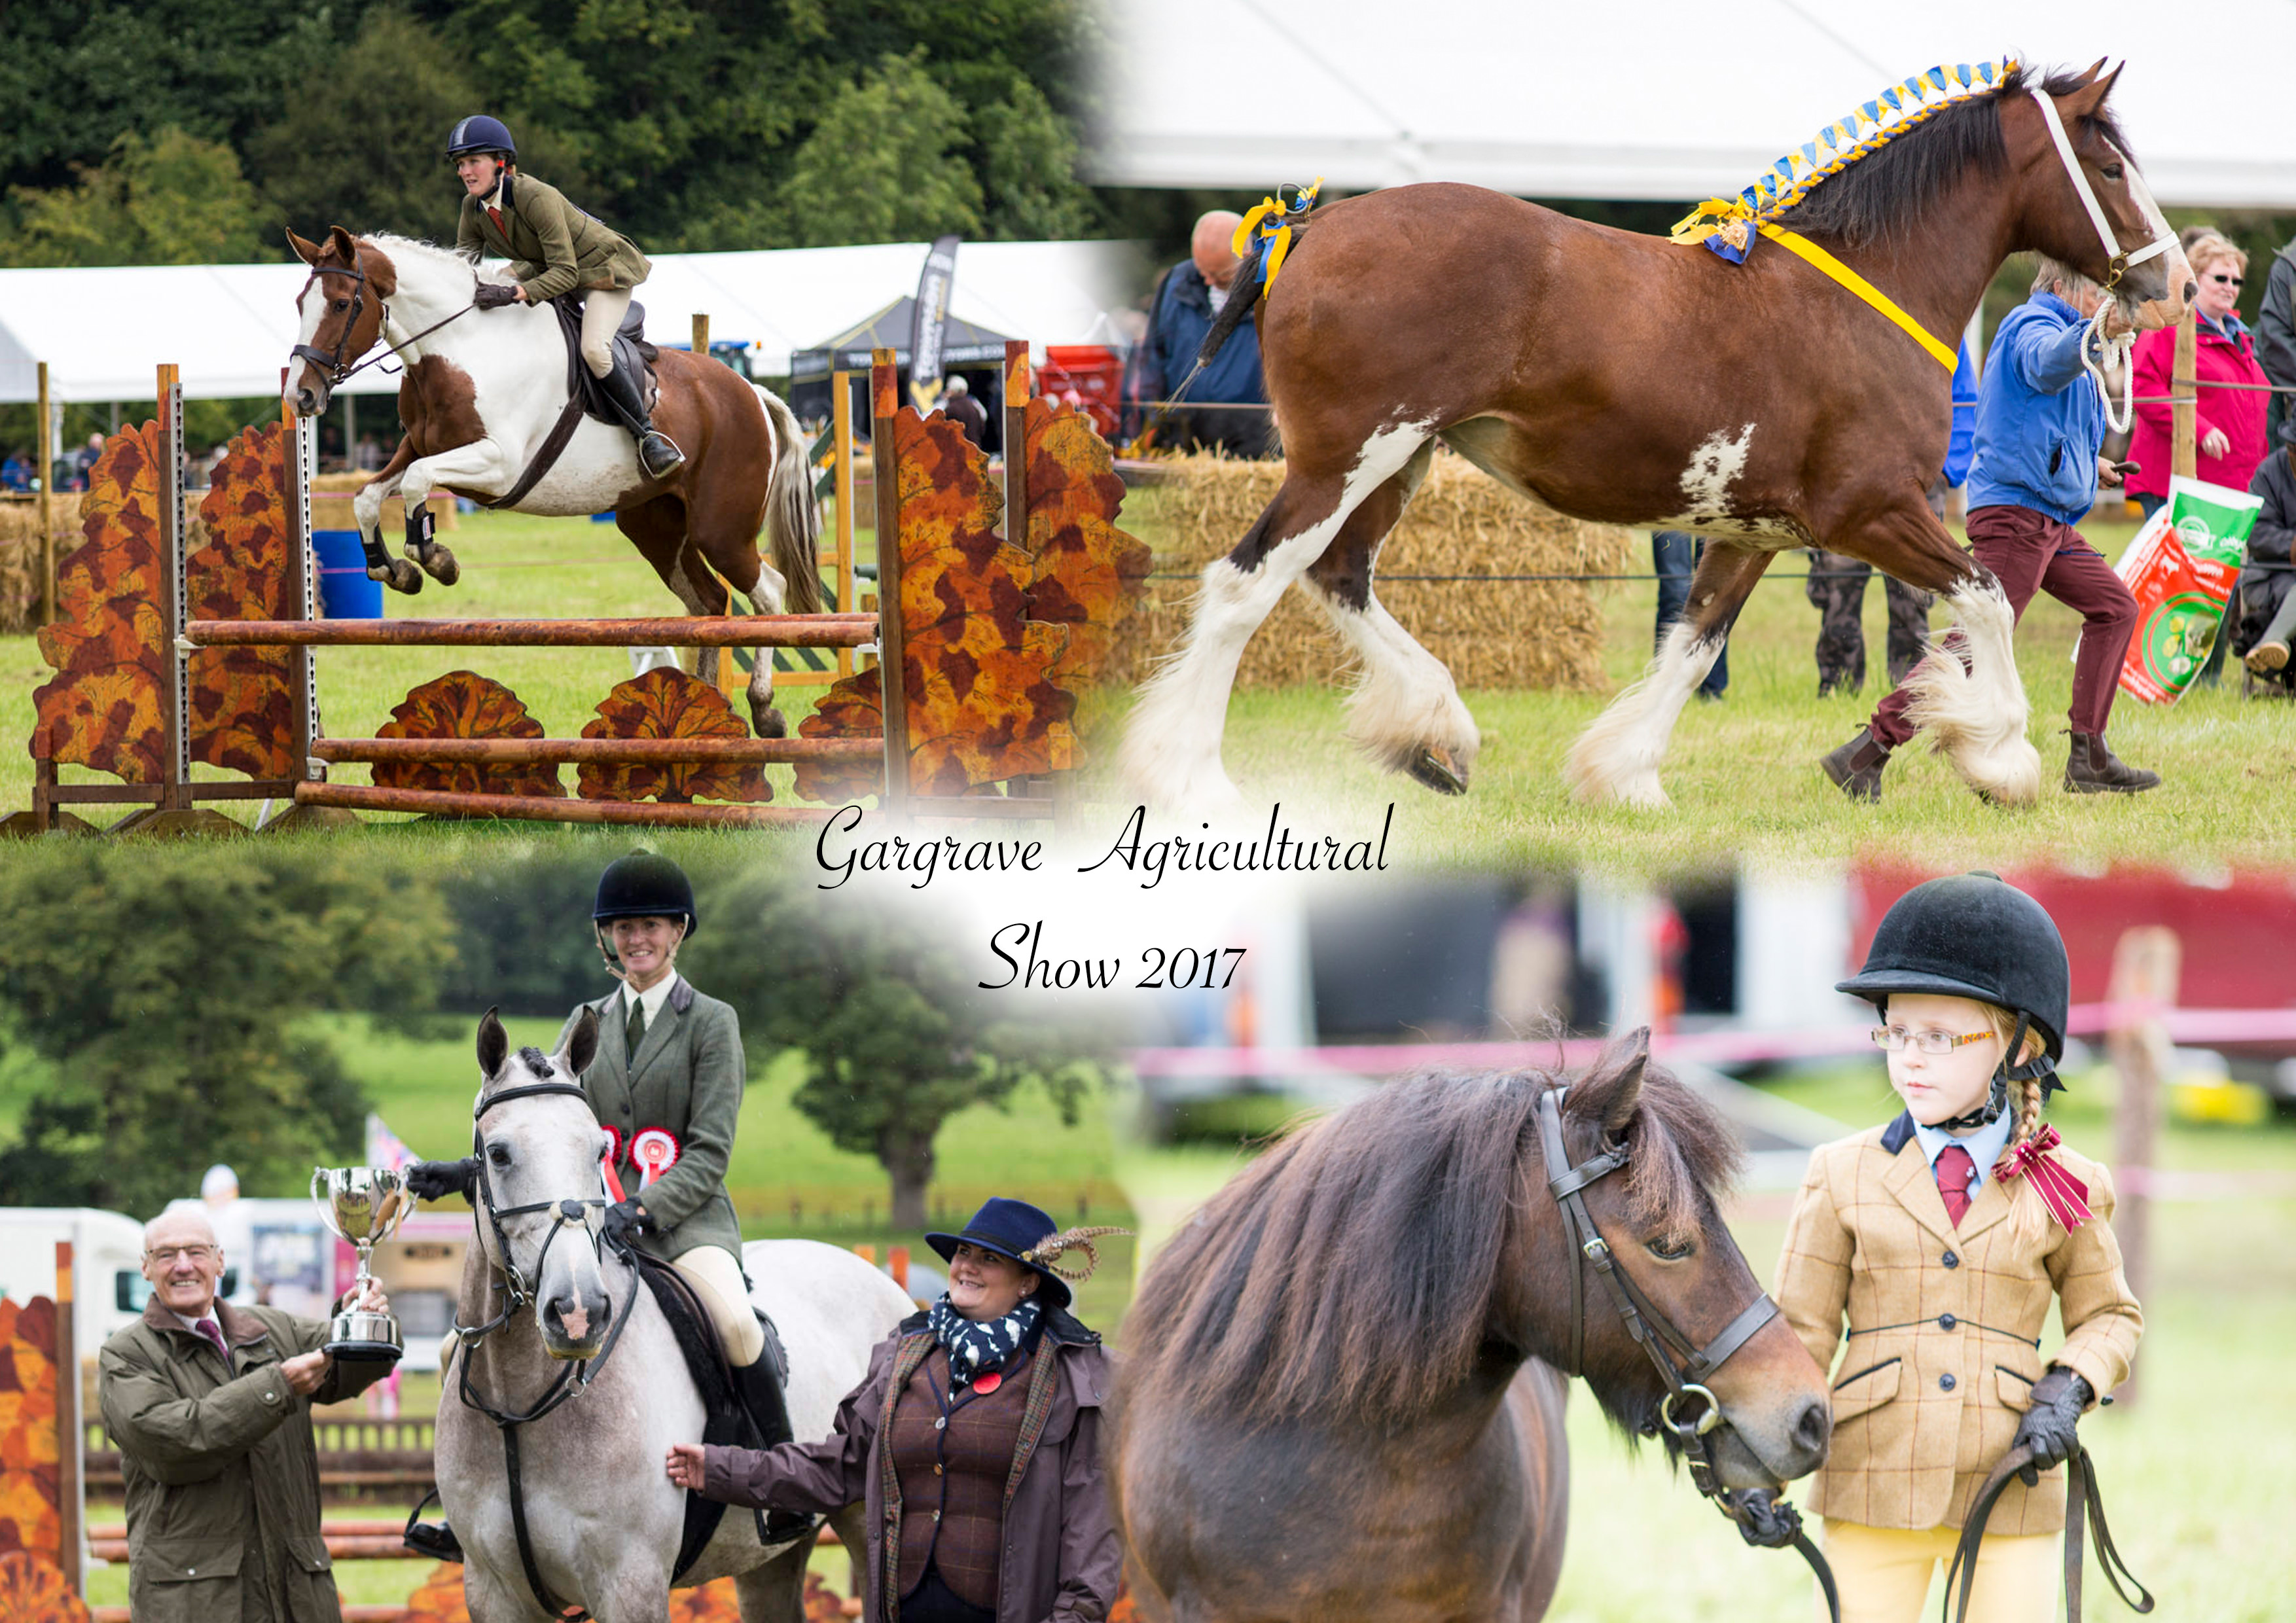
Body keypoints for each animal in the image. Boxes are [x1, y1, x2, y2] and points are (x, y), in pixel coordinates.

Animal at [283, 227, 826, 734]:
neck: (460, 351)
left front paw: (436, 560)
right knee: (711, 602)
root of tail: (753, 392)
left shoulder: (497, 465)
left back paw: (764, 710)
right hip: (656, 527)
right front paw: (394, 570)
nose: (300, 396)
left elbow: (418, 485)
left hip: (722, 531)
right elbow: (366, 497)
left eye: (339, 304)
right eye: (299, 304)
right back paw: (705, 705)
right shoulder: (417, 450)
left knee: (767, 592)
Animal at [1120, 62, 2195, 812]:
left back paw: (1436, 735)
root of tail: (1309, 228)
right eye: (2108, 165)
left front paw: (1624, 774)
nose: (2175, 284)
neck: (1866, 297)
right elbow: (1987, 601)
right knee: (1245, 584)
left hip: (1400, 460)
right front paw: (1998, 756)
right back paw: (1192, 780)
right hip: (1346, 457)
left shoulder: (1752, 532)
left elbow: (1692, 642)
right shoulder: (1871, 514)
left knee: (1337, 576)